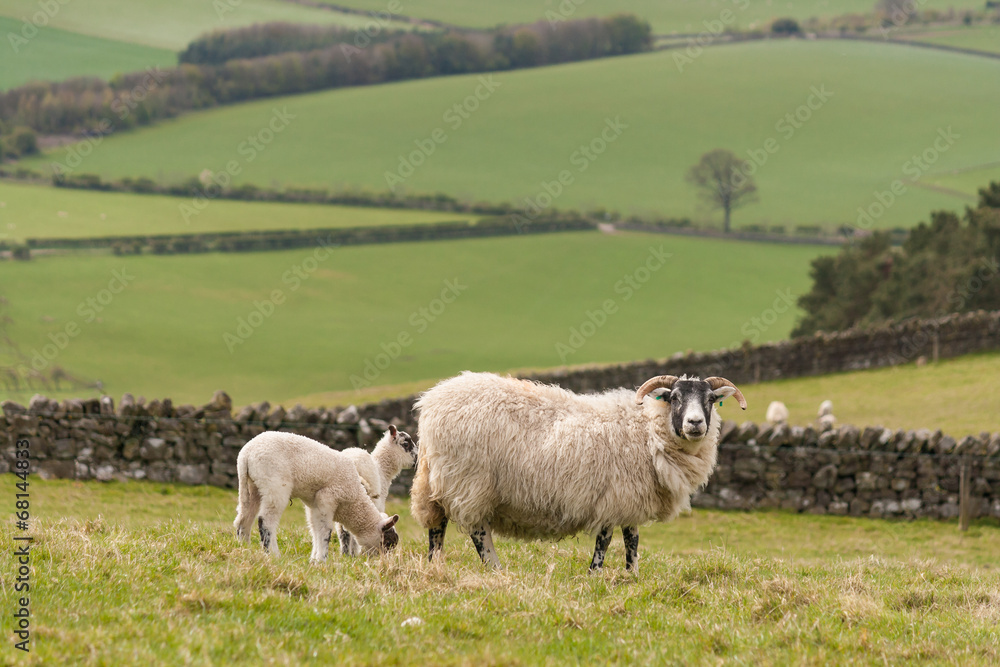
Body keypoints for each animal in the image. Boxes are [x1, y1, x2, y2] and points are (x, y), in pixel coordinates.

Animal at [234, 431, 399, 561]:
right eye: (388, 543)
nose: (384, 563)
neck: (354, 500)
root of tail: (246, 454)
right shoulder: (327, 498)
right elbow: (325, 530)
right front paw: (322, 559)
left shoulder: (313, 504)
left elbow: (315, 529)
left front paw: (314, 558)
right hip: (274, 486)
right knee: (266, 521)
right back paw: (273, 554)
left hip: (253, 486)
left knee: (243, 519)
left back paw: (245, 549)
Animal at [410, 372, 746, 572]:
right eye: (675, 398)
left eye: (710, 400)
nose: (695, 423)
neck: (647, 430)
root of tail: (431, 402)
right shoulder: (613, 496)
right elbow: (606, 541)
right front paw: (595, 573)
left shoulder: (629, 498)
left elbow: (633, 539)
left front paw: (632, 576)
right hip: (469, 481)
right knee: (478, 532)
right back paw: (495, 569)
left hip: (439, 479)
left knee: (437, 526)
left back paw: (434, 565)